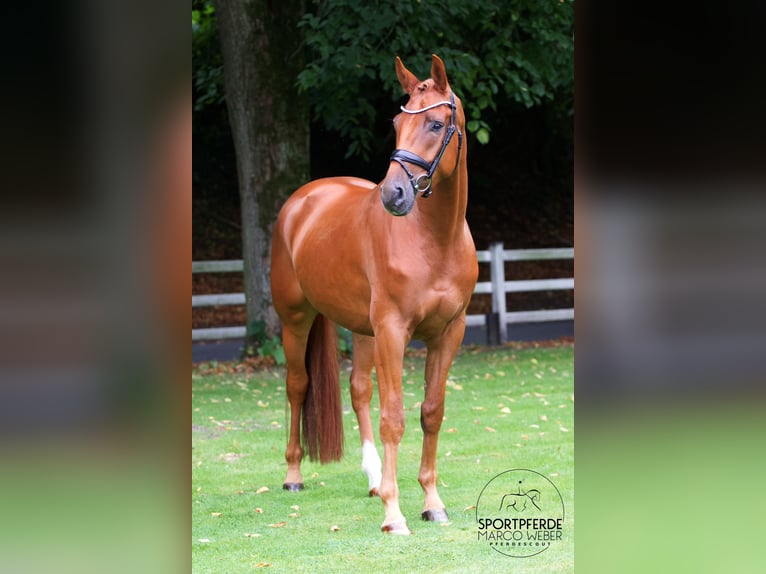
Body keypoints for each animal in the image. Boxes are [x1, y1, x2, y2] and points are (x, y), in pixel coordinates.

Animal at [268, 54, 474, 536]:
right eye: (397, 123)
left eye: (435, 123)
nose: (393, 194)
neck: (436, 240)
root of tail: (303, 199)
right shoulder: (394, 331)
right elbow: (394, 418)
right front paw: (394, 515)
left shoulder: (448, 334)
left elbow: (431, 412)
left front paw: (431, 503)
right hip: (296, 321)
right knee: (297, 386)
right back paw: (293, 475)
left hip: (362, 330)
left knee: (358, 389)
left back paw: (375, 479)